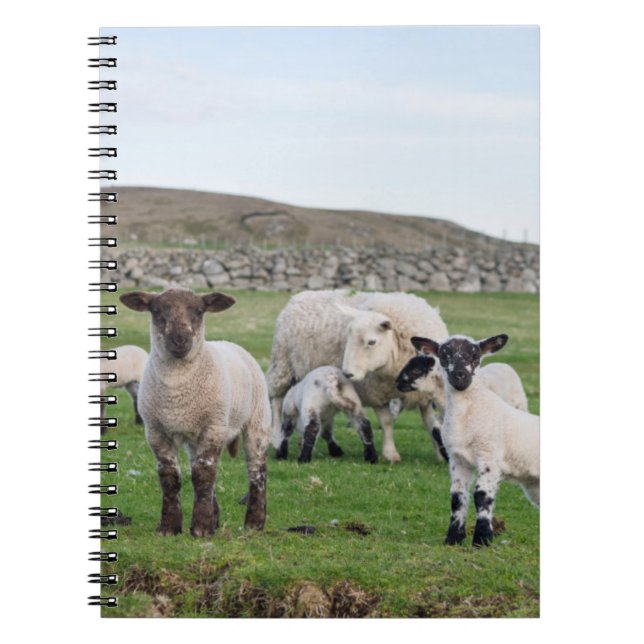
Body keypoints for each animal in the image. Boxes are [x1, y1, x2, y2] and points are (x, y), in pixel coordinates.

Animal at [120, 288, 270, 536]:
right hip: (194, 437)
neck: (177, 391)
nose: (180, 339)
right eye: (156, 310)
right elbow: (171, 478)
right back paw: (216, 519)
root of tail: (230, 344)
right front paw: (170, 527)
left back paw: (254, 523)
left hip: (257, 420)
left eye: (199, 311)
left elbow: (203, 474)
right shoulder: (156, 431)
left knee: (257, 470)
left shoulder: (214, 426)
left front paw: (201, 528)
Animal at [266, 289, 449, 463]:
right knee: (277, 402)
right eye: (348, 338)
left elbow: (431, 425)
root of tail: (299, 296)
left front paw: (440, 454)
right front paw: (391, 454)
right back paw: (276, 439)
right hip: (282, 364)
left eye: (372, 342)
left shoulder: (425, 395)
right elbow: (387, 423)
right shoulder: (376, 394)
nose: (347, 373)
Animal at [411, 334, 539, 547]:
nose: (460, 375)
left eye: (475, 355)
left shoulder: (489, 456)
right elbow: (457, 497)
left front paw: (482, 539)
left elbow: (481, 496)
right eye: (444, 354)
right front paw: (453, 538)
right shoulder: (457, 459)